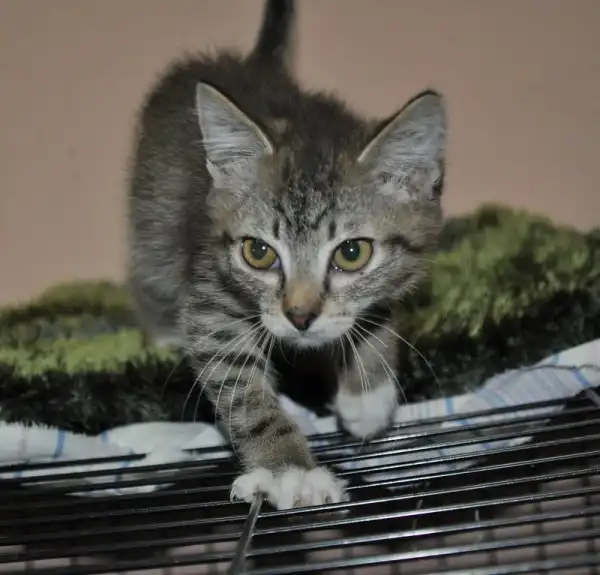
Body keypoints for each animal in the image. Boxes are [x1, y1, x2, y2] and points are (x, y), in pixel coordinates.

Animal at [127, 0, 446, 510]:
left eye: (352, 253)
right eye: (259, 252)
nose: (299, 316)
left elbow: (378, 311)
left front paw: (367, 391)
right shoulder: (210, 298)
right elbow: (242, 390)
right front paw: (287, 469)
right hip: (152, 220)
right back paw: (162, 334)